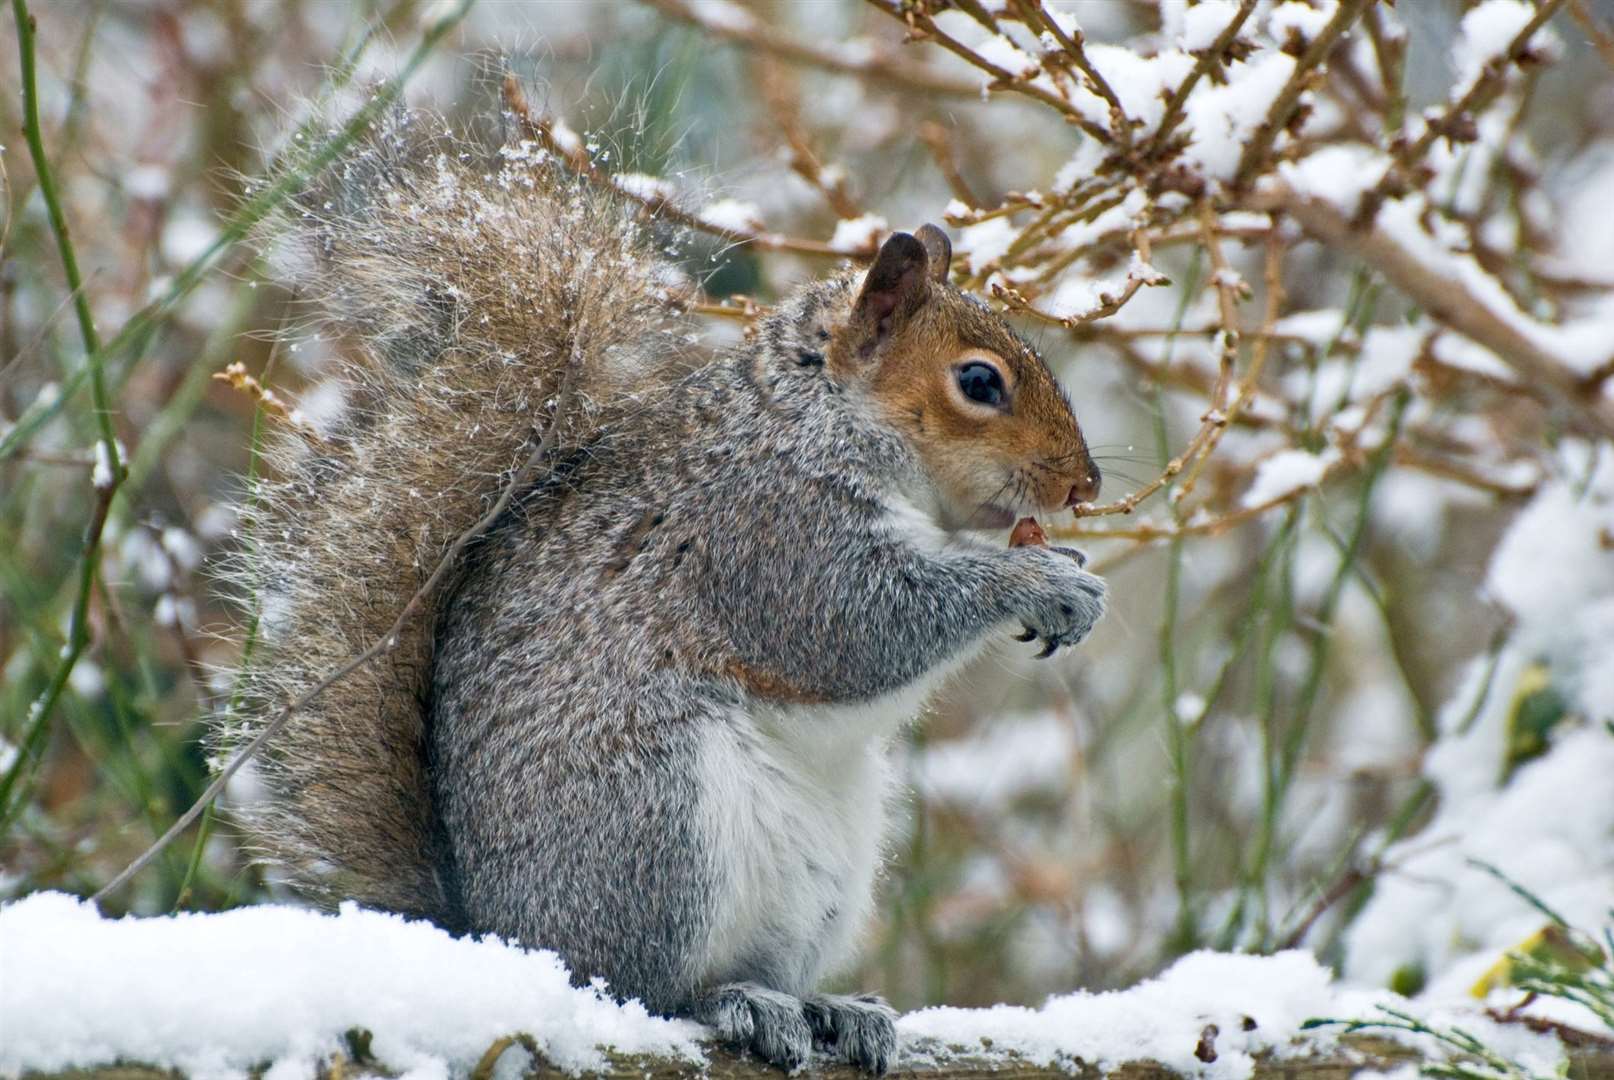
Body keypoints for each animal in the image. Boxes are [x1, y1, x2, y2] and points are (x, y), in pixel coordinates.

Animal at [224, 109, 1110, 1071]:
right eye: (979, 382)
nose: (1083, 485)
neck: (817, 419)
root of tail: (499, 937)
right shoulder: (763, 532)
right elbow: (860, 623)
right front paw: (1034, 580)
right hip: (658, 824)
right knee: (646, 991)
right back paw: (734, 1004)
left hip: (822, 874)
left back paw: (826, 1006)